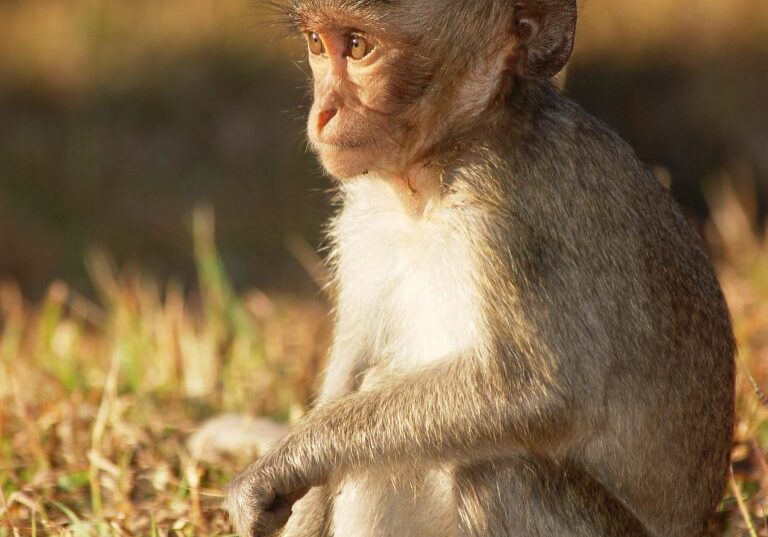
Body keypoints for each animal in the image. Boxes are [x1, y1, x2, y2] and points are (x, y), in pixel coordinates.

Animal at [225, 0, 736, 536]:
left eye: (359, 47)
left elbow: (541, 391)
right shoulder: (364, 217)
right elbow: (353, 364)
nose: (323, 113)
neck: (433, 178)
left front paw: (284, 462)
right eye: (316, 44)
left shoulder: (505, 216)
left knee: (494, 468)